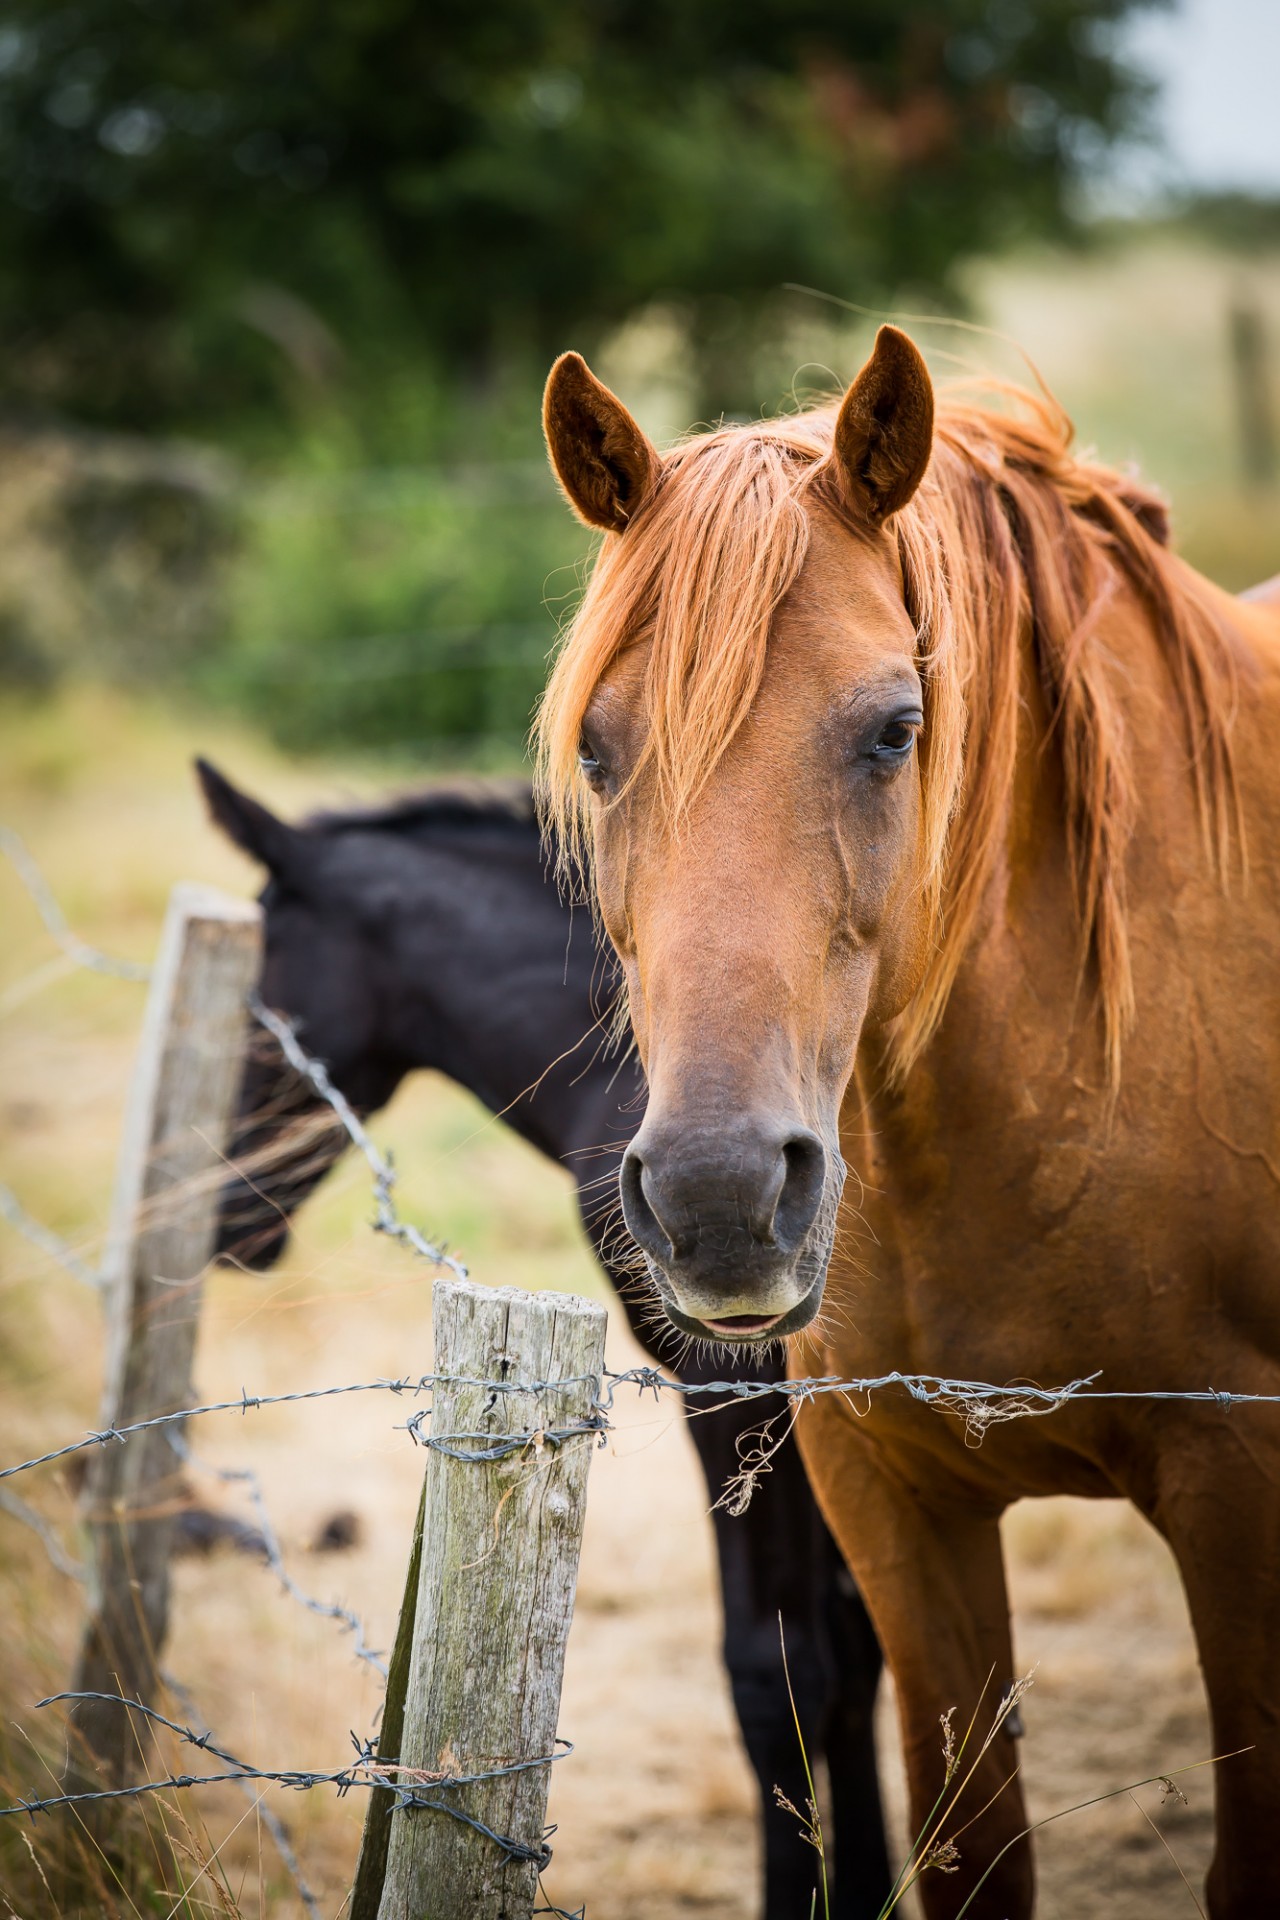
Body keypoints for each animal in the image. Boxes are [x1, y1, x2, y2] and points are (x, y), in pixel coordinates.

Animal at [537, 322, 1280, 1912]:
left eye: (895, 729)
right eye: (599, 753)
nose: (716, 1201)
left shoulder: (1239, 1494)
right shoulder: (893, 1504)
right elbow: (970, 1859)